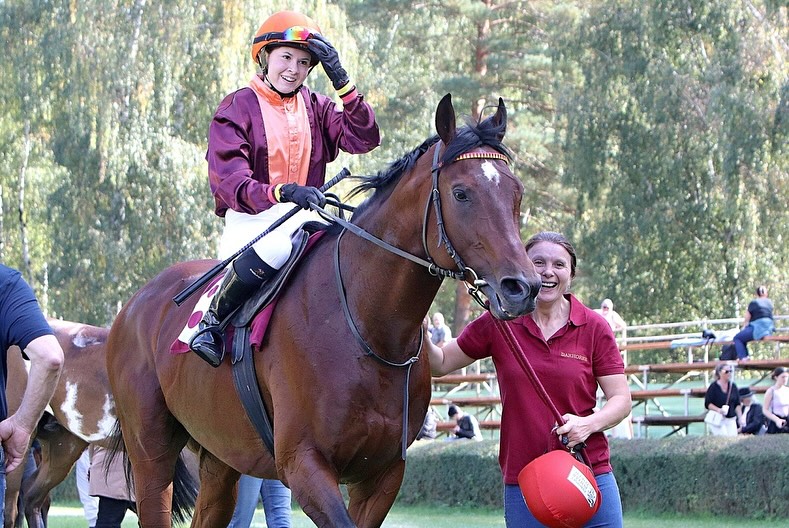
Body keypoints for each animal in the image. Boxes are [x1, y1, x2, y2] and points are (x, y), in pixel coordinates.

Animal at [106, 94, 541, 527]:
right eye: (461, 193)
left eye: (516, 192)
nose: (522, 287)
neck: (365, 327)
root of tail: (133, 307)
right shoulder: (303, 464)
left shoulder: (383, 474)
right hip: (152, 454)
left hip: (220, 457)